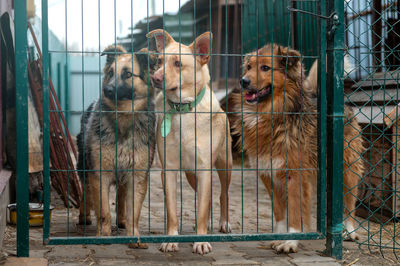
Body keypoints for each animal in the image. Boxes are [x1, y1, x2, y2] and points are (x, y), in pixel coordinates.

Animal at [76, 44, 157, 247]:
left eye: (128, 74)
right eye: (111, 72)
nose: (106, 90)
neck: (124, 118)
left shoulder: (137, 175)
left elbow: (133, 211)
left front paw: (133, 235)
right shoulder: (99, 173)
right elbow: (104, 211)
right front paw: (103, 235)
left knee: (121, 196)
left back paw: (121, 221)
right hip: (84, 166)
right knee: (85, 192)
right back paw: (84, 216)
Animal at [148, 29, 233, 256]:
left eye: (178, 63)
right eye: (159, 61)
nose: (155, 78)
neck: (182, 111)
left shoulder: (205, 168)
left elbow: (202, 208)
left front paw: (201, 242)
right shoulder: (169, 170)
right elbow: (172, 210)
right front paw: (171, 239)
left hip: (225, 166)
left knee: (222, 195)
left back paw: (223, 223)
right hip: (190, 174)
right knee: (207, 198)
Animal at [227, 45, 364, 254]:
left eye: (265, 68)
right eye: (248, 67)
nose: (243, 81)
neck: (271, 115)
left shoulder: (295, 175)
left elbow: (294, 210)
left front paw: (290, 241)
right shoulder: (268, 174)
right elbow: (279, 211)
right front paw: (279, 237)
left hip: (347, 169)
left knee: (349, 202)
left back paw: (349, 231)